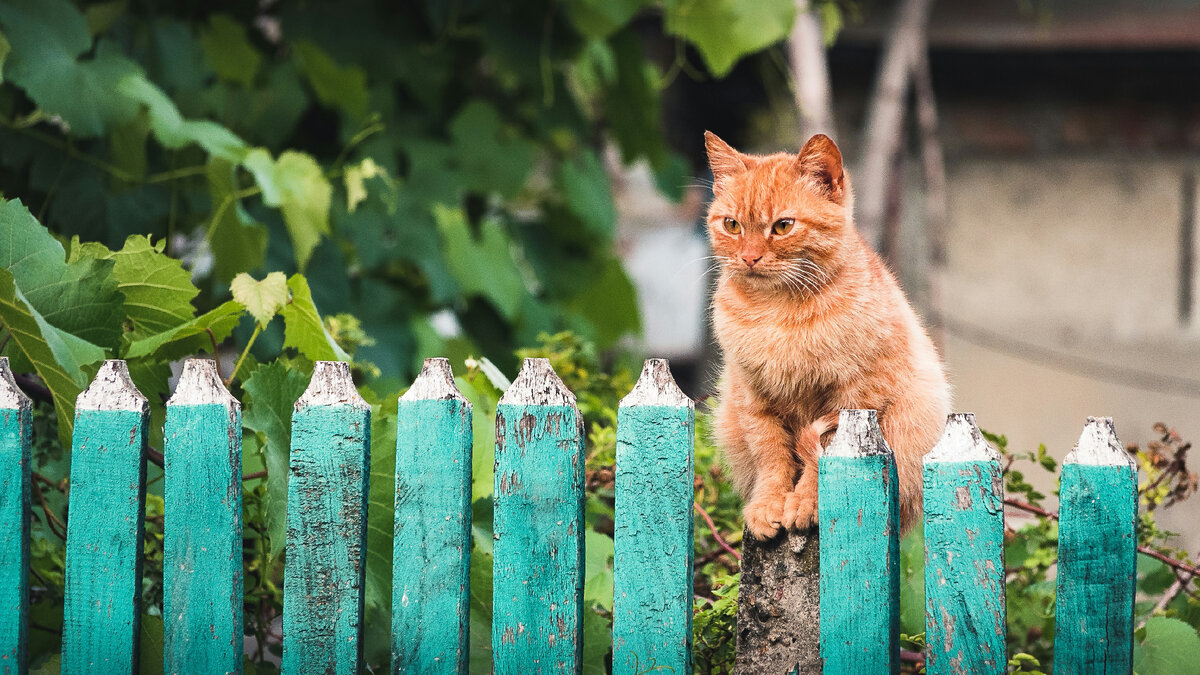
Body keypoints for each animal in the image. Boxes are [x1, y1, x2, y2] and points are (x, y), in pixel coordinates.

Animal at [700, 131, 945, 538]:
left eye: (783, 226)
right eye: (732, 225)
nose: (749, 258)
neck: (776, 310)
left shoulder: (853, 398)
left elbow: (822, 461)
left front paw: (806, 503)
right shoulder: (753, 399)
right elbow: (771, 456)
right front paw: (768, 504)